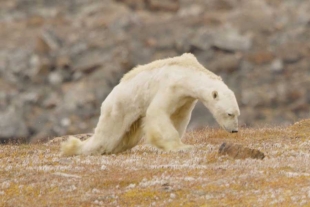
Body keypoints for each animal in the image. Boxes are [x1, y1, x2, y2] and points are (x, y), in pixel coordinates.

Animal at [61, 53, 240, 155]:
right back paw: (73, 148)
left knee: (126, 139)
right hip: (119, 108)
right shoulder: (170, 86)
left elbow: (179, 118)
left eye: (237, 114)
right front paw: (180, 147)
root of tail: (108, 99)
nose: (234, 130)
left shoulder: (185, 99)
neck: (187, 72)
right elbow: (157, 112)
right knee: (106, 137)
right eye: (229, 113)